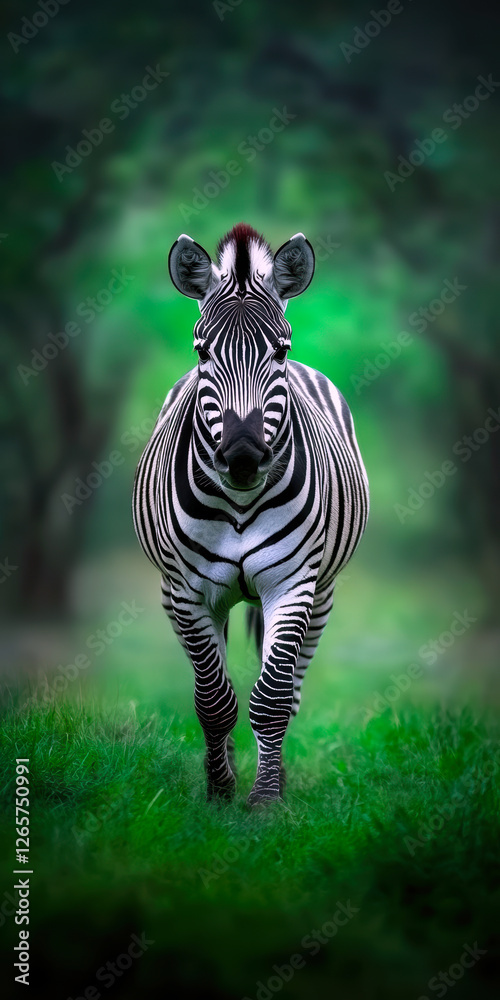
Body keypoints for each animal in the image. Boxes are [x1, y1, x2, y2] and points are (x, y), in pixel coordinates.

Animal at [133, 223, 369, 806]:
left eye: (280, 350)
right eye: (202, 351)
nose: (242, 458)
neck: (239, 501)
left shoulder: (292, 584)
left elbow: (273, 697)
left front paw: (264, 800)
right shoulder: (188, 592)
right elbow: (214, 700)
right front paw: (220, 792)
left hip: (322, 595)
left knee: (292, 688)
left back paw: (274, 774)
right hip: (178, 598)